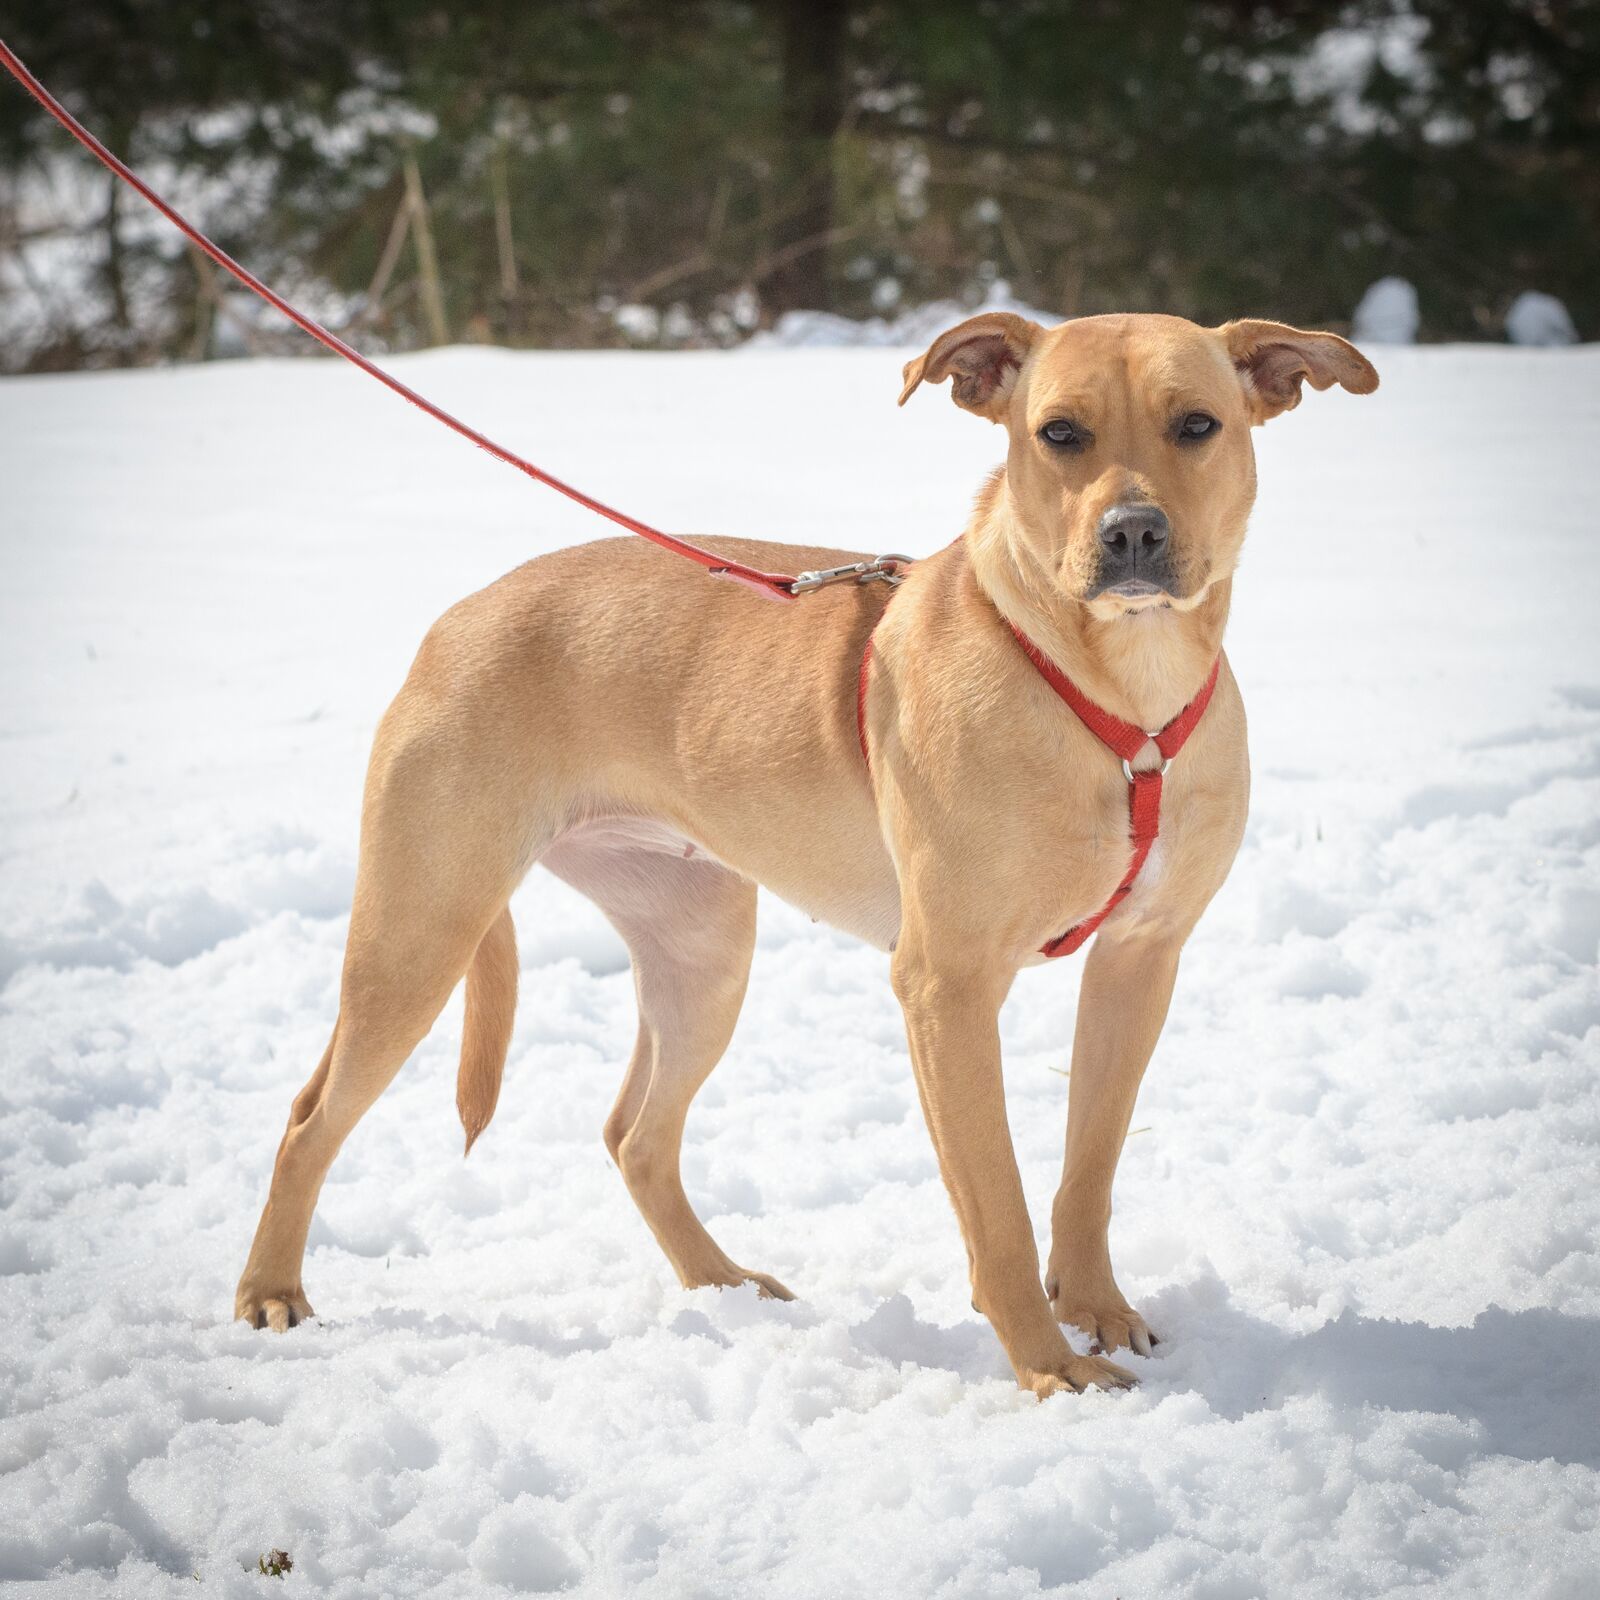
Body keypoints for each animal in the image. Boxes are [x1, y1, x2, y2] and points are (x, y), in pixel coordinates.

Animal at [233, 312, 1376, 1401]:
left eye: (1197, 424)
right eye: (1060, 433)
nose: (1131, 530)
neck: (1120, 693)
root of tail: (455, 618)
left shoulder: (1140, 960)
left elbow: (1085, 1168)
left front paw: (1096, 1309)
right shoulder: (948, 987)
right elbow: (997, 1202)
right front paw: (1049, 1367)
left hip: (702, 951)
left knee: (635, 1135)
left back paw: (720, 1285)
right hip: (420, 932)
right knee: (308, 1118)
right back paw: (270, 1292)